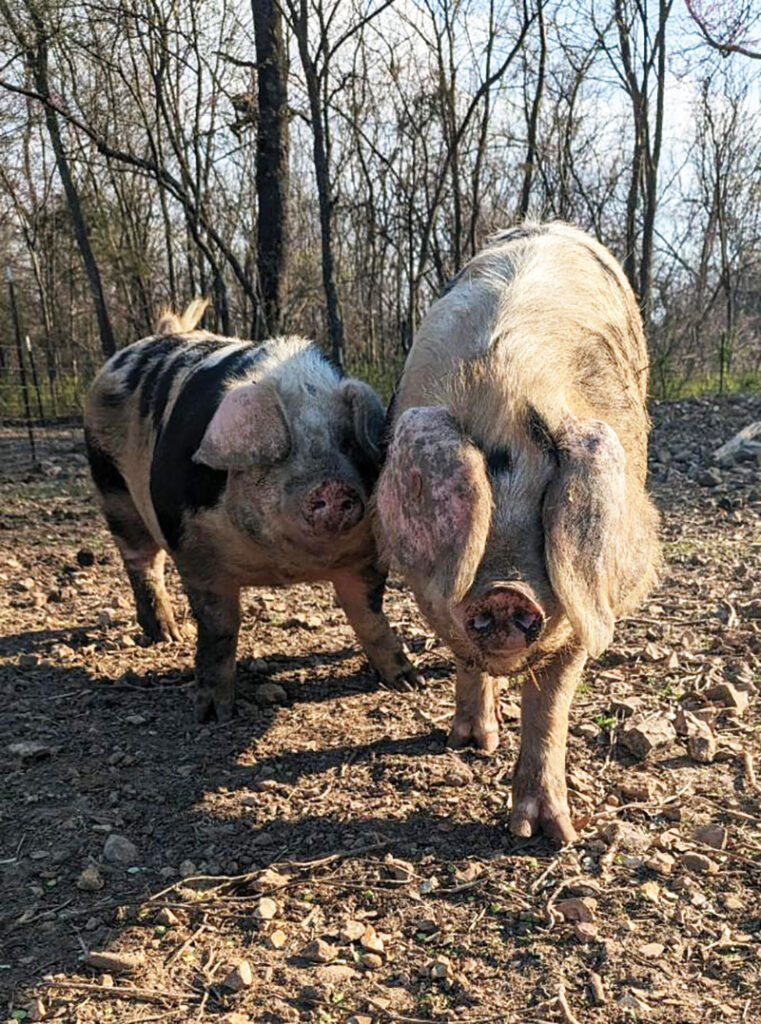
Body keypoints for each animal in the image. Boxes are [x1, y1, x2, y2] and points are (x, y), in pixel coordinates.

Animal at [86, 301, 419, 720]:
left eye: (347, 443)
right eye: (282, 450)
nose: (333, 486)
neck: (284, 566)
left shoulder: (366, 555)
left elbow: (369, 617)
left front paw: (408, 681)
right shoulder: (195, 553)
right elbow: (220, 629)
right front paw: (213, 714)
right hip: (113, 489)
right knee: (142, 562)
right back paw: (168, 634)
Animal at [376, 222, 659, 839]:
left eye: (544, 505)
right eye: (482, 505)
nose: (506, 592)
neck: (503, 391)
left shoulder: (584, 607)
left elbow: (550, 708)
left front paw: (546, 836)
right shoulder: (434, 589)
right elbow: (464, 654)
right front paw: (469, 746)